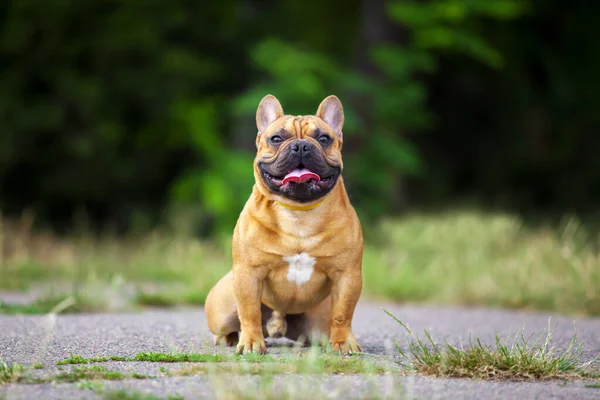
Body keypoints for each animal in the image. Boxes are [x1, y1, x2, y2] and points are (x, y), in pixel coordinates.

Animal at [204, 95, 364, 354]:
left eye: (324, 138)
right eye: (276, 138)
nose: (301, 145)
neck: (298, 212)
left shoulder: (347, 275)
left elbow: (342, 313)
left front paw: (343, 343)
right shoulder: (248, 274)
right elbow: (249, 311)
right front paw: (251, 343)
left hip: (317, 320)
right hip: (224, 308)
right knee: (231, 322)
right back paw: (230, 338)